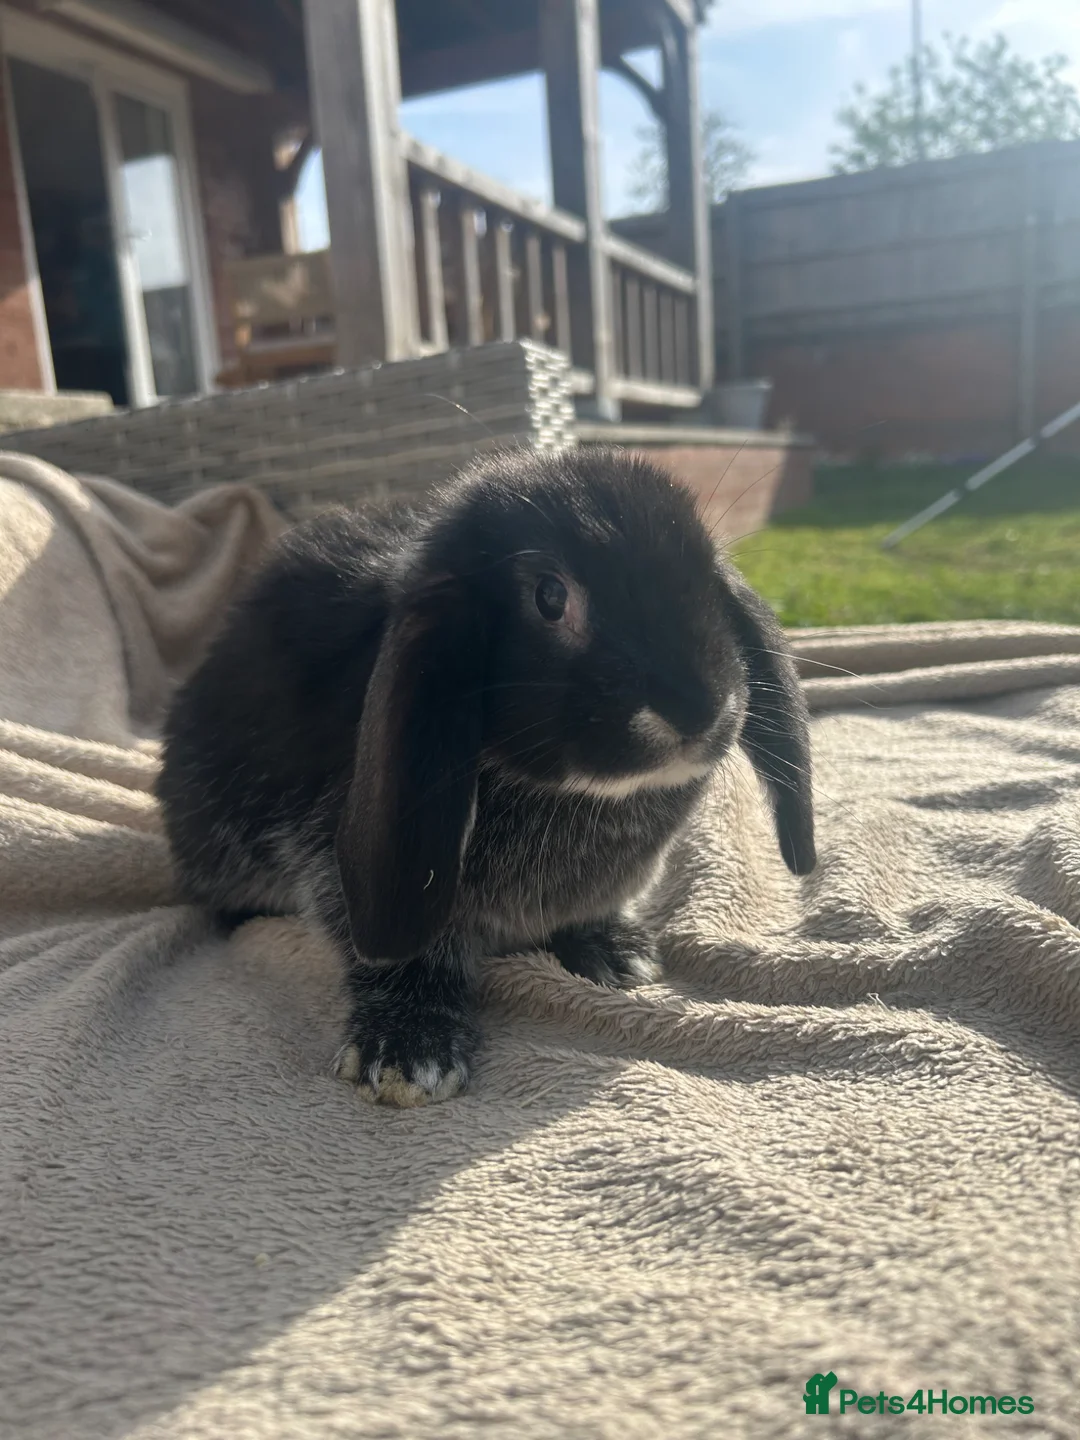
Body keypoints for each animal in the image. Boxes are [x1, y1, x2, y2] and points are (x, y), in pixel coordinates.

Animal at [157, 447, 815, 1107]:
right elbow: (402, 958)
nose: (698, 709)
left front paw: (617, 954)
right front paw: (407, 1050)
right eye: (548, 597)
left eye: (707, 576)